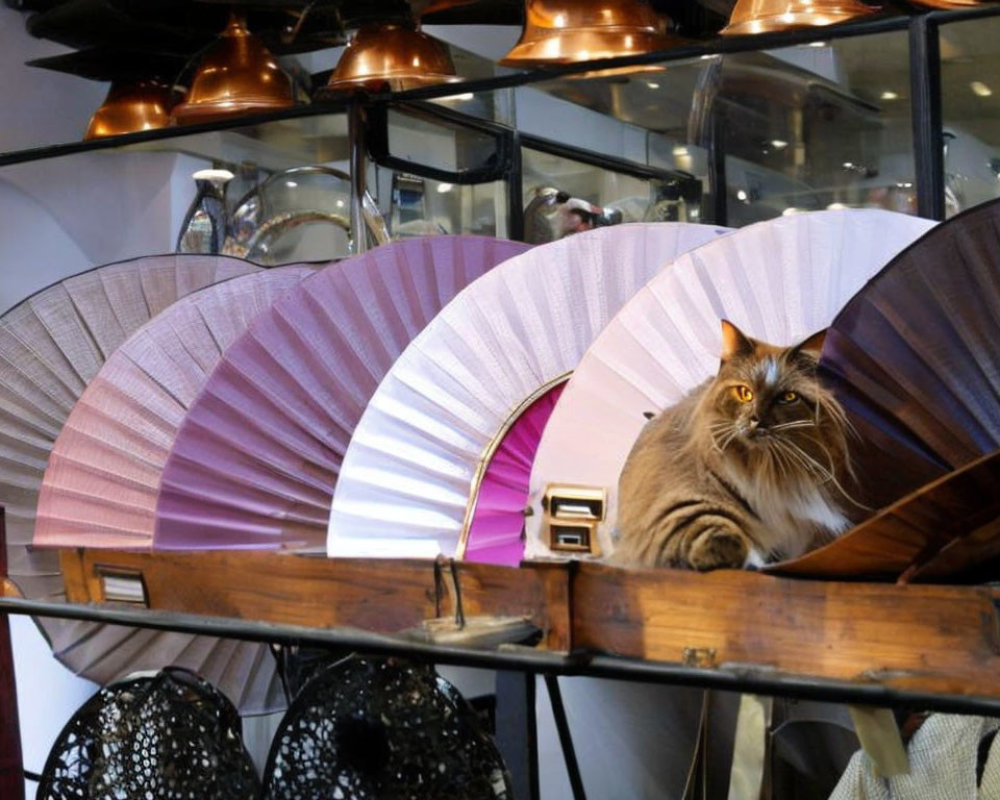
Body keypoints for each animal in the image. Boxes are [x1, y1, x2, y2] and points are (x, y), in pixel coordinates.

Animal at [612, 316, 856, 572]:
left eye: (787, 398)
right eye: (744, 393)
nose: (757, 420)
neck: (762, 469)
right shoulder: (678, 511)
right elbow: (722, 537)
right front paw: (751, 560)